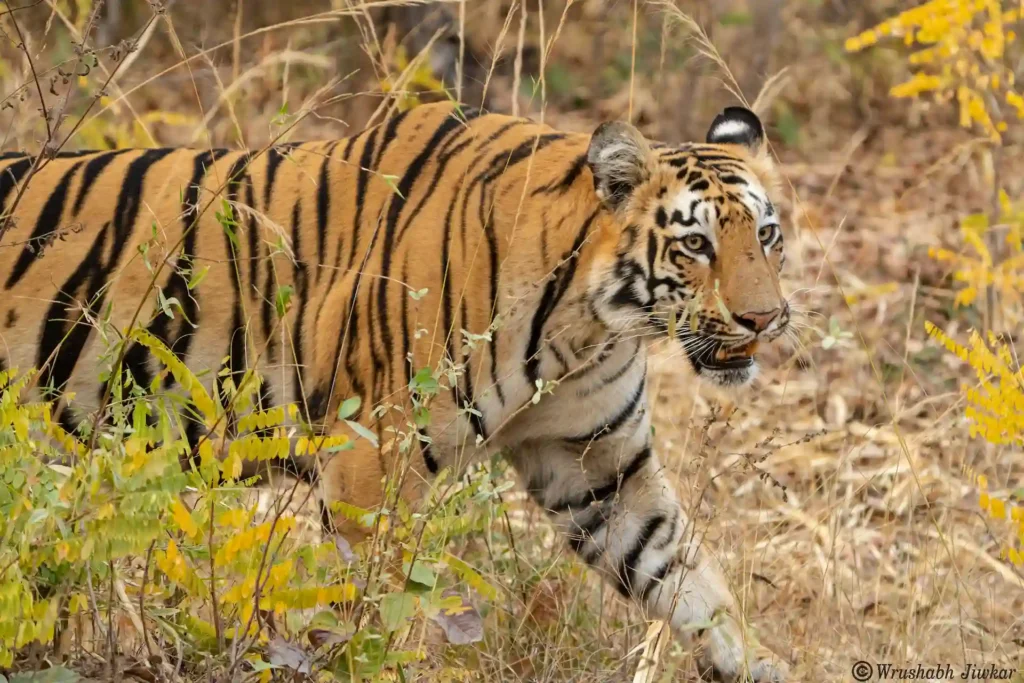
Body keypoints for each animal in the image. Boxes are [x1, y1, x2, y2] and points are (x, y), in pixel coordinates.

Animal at [0, 100, 790, 679]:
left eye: (768, 235)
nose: (765, 318)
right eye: (695, 245)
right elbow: (386, 609)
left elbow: (689, 577)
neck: (586, 324)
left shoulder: (597, 464)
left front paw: (759, 663)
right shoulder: (371, 458)